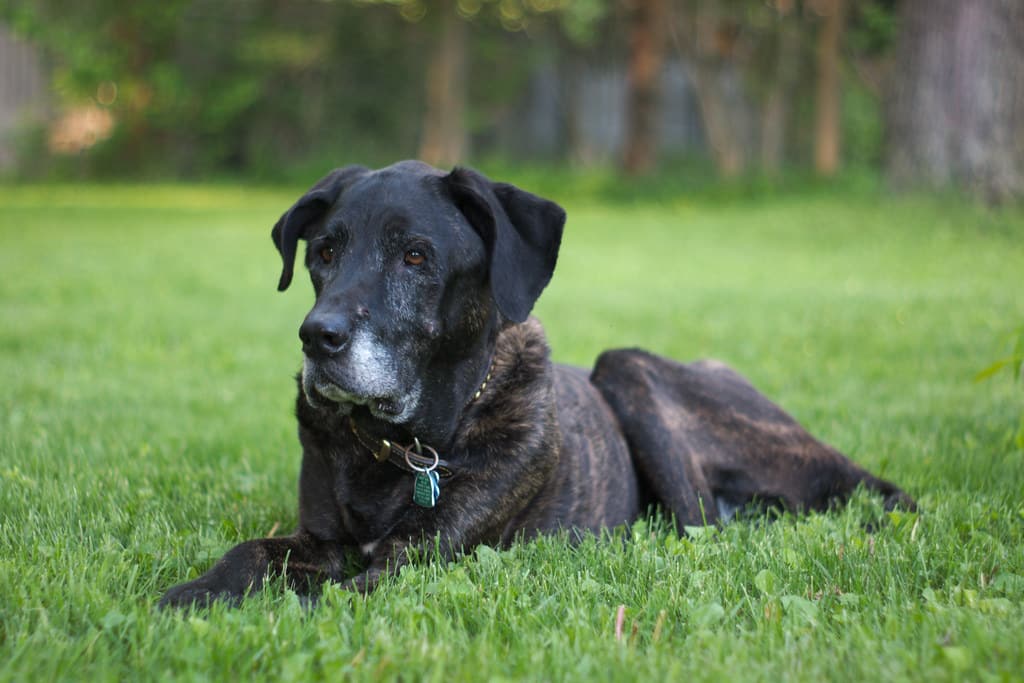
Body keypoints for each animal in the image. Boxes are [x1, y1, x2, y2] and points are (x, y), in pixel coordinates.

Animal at [157, 161, 913, 610]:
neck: (406, 447)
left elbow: (329, 596)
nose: (319, 336)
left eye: (415, 256)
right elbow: (250, 553)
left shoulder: (414, 558)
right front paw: (190, 594)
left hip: (630, 373)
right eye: (324, 253)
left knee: (700, 523)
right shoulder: (317, 539)